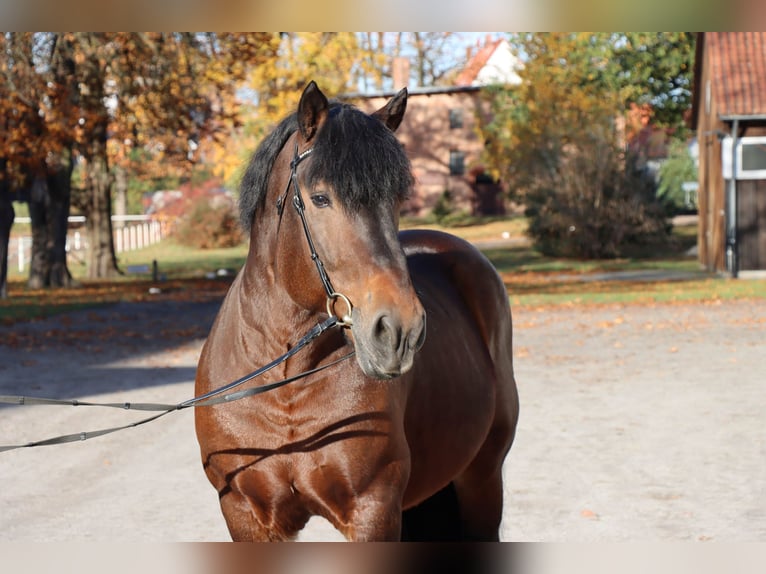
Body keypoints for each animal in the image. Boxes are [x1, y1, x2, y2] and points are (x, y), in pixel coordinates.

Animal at [194, 81, 519, 541]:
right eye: (319, 198)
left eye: (397, 197)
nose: (400, 330)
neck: (284, 387)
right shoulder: (245, 514)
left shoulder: (373, 509)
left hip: (482, 478)